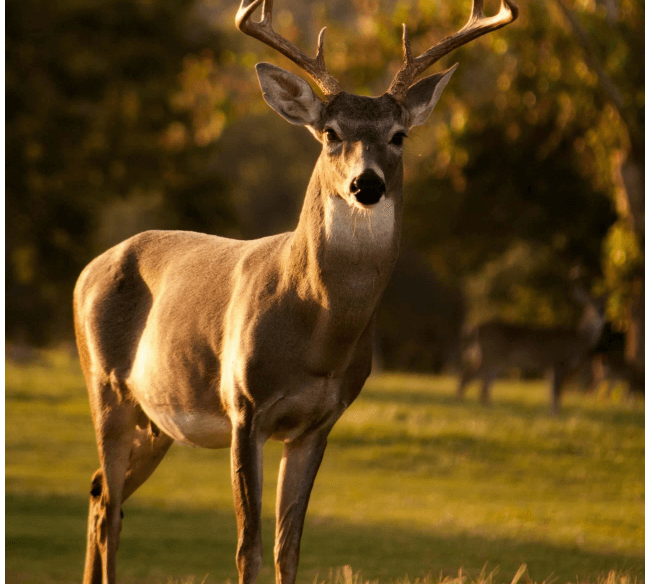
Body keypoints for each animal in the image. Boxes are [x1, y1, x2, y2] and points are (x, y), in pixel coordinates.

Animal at [73, 0, 520, 580]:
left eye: (399, 135)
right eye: (329, 132)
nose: (366, 184)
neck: (317, 334)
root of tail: (87, 271)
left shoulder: (319, 423)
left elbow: (289, 546)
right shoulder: (244, 407)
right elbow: (249, 544)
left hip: (157, 419)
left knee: (101, 492)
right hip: (105, 385)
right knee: (108, 506)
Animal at [456, 290, 608, 412]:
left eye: (605, 303)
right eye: (590, 304)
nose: (601, 311)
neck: (580, 339)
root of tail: (474, 330)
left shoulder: (550, 367)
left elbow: (551, 392)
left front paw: (552, 413)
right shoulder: (557, 362)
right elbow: (556, 392)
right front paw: (556, 414)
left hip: (494, 360)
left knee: (483, 383)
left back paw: (487, 406)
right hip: (490, 356)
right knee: (468, 376)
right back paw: (462, 402)